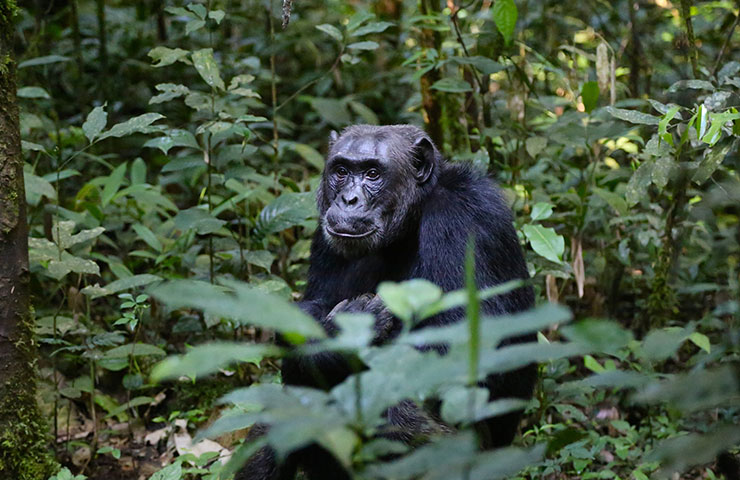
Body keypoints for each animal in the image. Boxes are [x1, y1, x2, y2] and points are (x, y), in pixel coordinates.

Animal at [240, 124, 536, 480]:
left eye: (372, 173)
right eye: (341, 171)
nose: (349, 199)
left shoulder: (465, 218)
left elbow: (471, 343)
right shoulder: (324, 239)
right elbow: (310, 313)